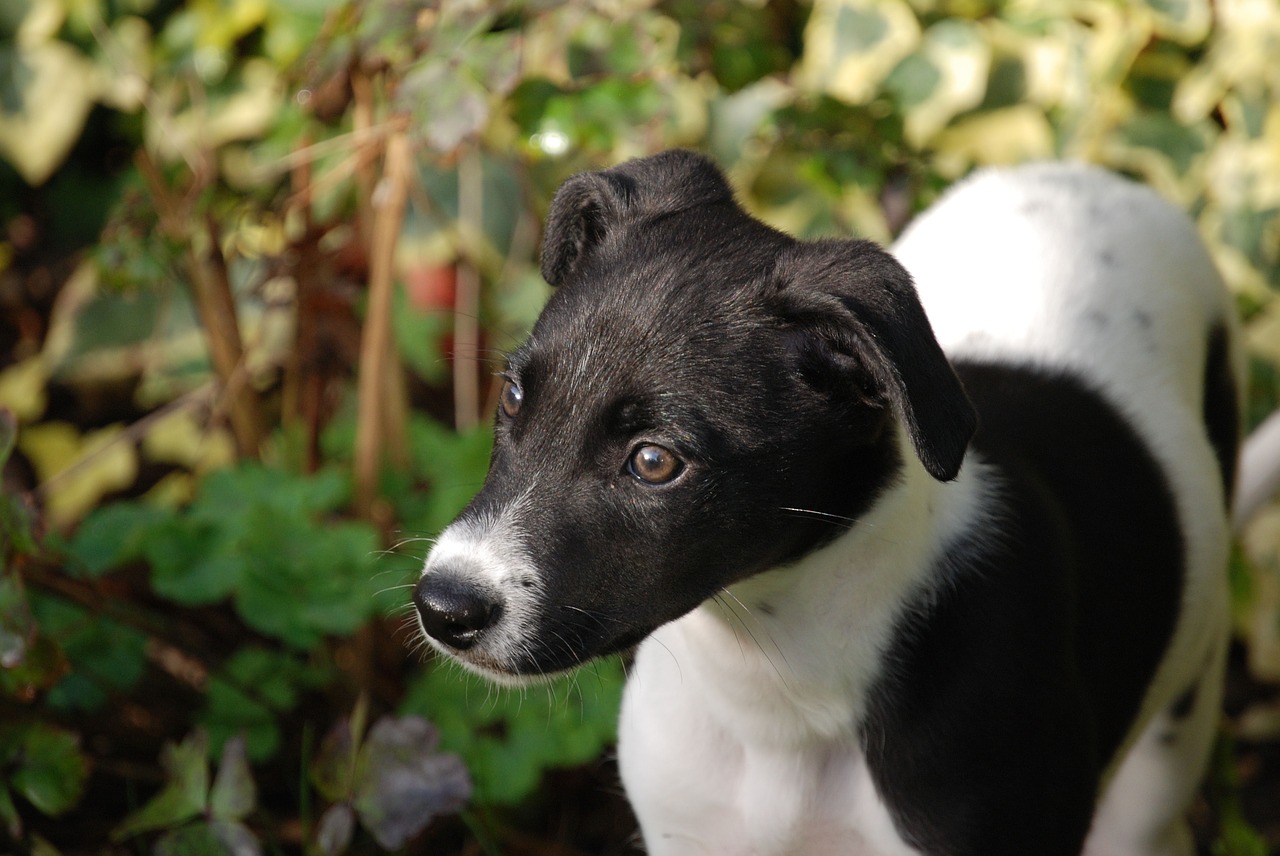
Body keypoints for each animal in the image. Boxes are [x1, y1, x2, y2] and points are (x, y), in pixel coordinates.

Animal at [412, 153, 1239, 854]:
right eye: (513, 397)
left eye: (654, 462)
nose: (444, 608)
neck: (777, 697)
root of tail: (1088, 174)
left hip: (1177, 727)